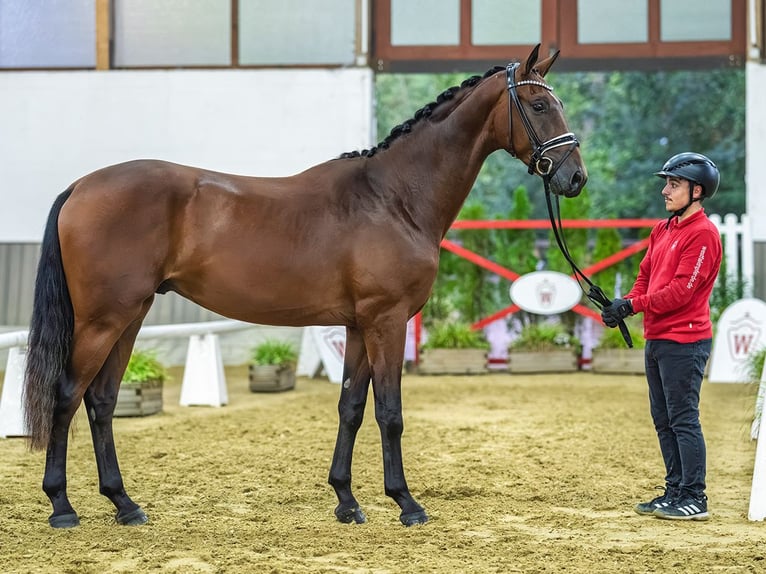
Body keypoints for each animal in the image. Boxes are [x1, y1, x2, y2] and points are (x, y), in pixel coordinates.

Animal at [23, 44, 587, 529]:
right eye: (540, 104)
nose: (574, 177)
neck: (393, 198)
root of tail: (81, 187)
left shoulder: (359, 326)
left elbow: (351, 408)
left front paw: (346, 501)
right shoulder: (386, 321)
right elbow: (390, 413)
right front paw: (405, 503)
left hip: (131, 314)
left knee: (101, 401)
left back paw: (124, 503)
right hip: (103, 319)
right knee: (67, 395)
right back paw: (62, 507)